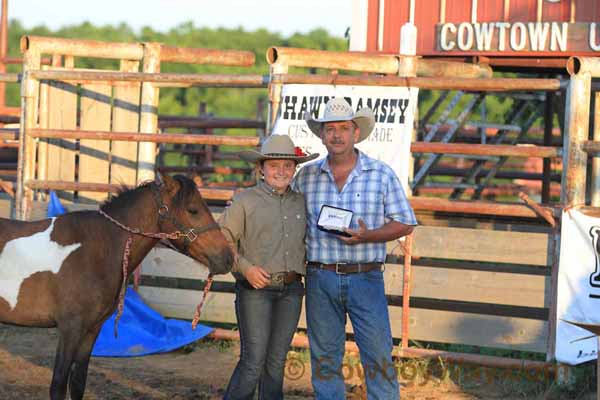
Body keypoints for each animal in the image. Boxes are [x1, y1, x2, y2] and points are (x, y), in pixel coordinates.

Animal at [0, 173, 233, 398]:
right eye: (192, 210)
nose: (228, 258)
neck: (96, 249)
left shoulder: (91, 330)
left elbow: (78, 384)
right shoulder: (70, 329)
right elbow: (58, 385)